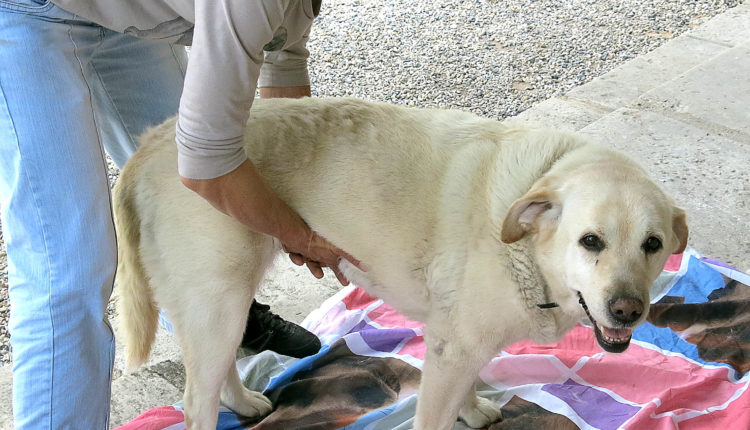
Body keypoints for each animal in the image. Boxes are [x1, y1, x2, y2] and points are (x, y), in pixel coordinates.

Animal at [114, 97, 692, 430]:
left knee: (216, 369)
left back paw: (243, 402)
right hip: (220, 300)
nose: (627, 311)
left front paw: (472, 410)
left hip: (222, 304)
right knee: (196, 399)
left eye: (653, 244)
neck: (526, 246)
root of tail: (156, 141)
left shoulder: (455, 342)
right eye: (591, 241)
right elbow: (435, 414)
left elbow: (467, 385)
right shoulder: (453, 348)